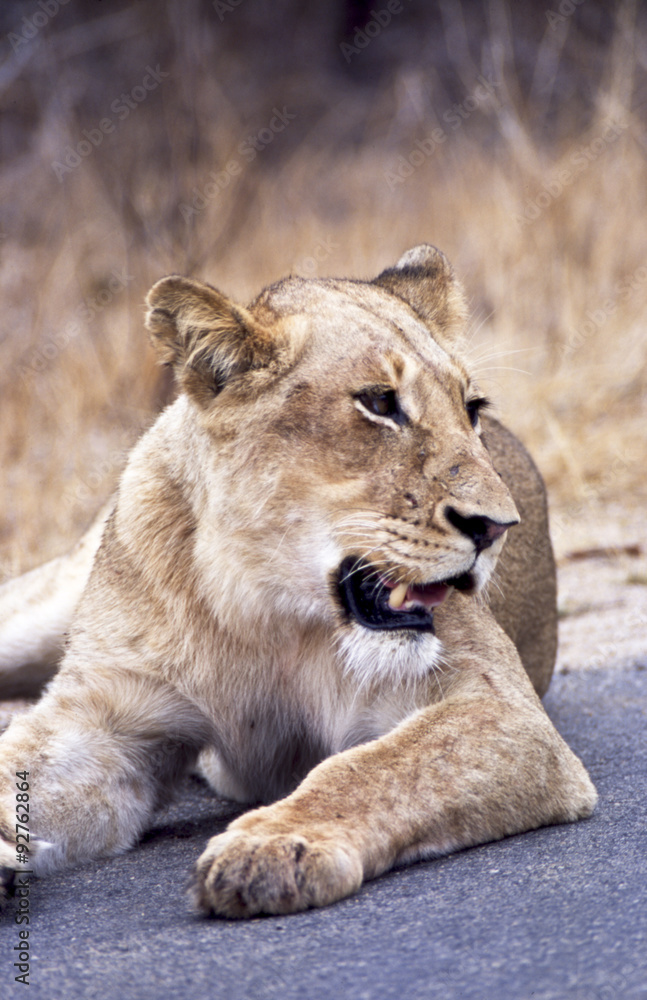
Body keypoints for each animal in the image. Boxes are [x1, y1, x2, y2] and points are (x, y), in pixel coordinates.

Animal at [0, 244, 596, 918]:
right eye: (380, 404)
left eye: (472, 411)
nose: (497, 527)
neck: (262, 606)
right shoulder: (108, 722)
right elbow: (22, 762)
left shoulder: (503, 712)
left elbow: (375, 768)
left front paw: (274, 845)